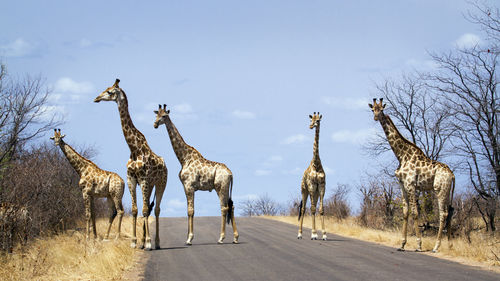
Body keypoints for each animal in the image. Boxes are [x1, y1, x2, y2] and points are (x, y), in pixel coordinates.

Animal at [94, 79, 169, 249]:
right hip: (150, 185)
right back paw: (143, 240)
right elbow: (135, 210)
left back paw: (156, 242)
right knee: (149, 207)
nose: (96, 98)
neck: (134, 149)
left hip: (160, 183)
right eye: (106, 89)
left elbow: (145, 210)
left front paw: (148, 242)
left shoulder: (144, 180)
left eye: (110, 92)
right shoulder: (131, 179)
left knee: (156, 209)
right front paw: (135, 241)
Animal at [152, 104, 238, 244]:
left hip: (221, 187)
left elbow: (191, 211)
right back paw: (235, 237)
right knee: (231, 207)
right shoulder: (186, 187)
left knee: (224, 208)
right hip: (225, 188)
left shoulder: (189, 186)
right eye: (156, 115)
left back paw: (221, 237)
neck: (184, 158)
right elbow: (188, 210)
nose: (155, 124)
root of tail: (230, 173)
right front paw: (188, 236)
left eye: (164, 116)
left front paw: (189, 238)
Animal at [296, 112, 328, 240]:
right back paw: (299, 234)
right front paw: (314, 234)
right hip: (304, 190)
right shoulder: (311, 186)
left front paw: (324, 234)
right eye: (311, 120)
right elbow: (313, 209)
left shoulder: (322, 187)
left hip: (315, 193)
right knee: (304, 209)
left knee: (311, 208)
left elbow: (321, 209)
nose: (310, 126)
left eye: (318, 120)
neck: (316, 163)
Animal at [370, 98, 456, 252]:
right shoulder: (402, 185)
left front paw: (419, 245)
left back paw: (436, 246)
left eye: (381, 109)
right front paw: (402, 244)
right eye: (372, 109)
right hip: (446, 191)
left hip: (440, 189)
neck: (401, 155)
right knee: (450, 211)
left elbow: (415, 213)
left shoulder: (411, 185)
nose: (375, 117)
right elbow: (405, 212)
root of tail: (451, 174)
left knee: (443, 213)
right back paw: (449, 245)